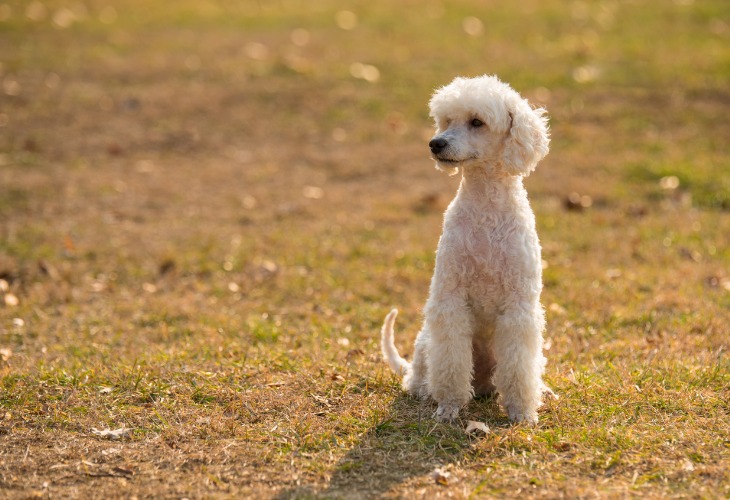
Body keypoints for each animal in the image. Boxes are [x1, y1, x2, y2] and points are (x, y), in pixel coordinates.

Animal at [384, 74, 548, 424]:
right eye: (447, 121)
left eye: (477, 122)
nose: (435, 143)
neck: (485, 208)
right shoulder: (450, 299)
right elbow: (451, 363)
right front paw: (448, 408)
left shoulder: (520, 307)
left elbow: (520, 368)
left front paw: (522, 414)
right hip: (426, 341)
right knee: (421, 375)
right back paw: (423, 390)